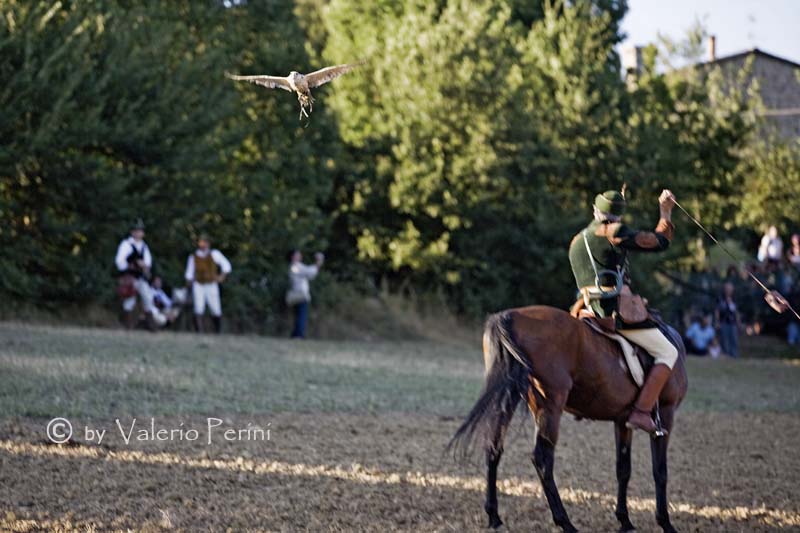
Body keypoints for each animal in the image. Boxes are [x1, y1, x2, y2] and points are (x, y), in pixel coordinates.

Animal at [450, 304, 688, 532]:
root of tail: (508, 317)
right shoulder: (665, 414)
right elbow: (660, 471)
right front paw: (665, 522)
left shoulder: (622, 421)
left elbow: (623, 469)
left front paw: (625, 520)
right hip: (550, 406)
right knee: (542, 459)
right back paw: (565, 522)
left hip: (511, 399)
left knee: (494, 447)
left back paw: (494, 516)